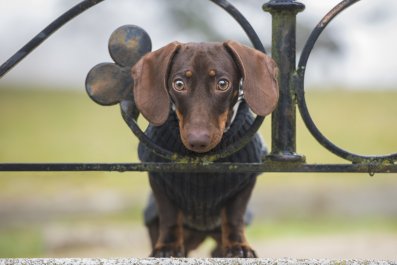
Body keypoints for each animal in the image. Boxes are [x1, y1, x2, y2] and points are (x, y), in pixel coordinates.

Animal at [131, 40, 276, 256]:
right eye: (179, 84)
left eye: (222, 84)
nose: (198, 140)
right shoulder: (159, 180)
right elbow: (169, 216)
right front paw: (167, 247)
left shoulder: (245, 182)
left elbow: (234, 217)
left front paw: (238, 246)